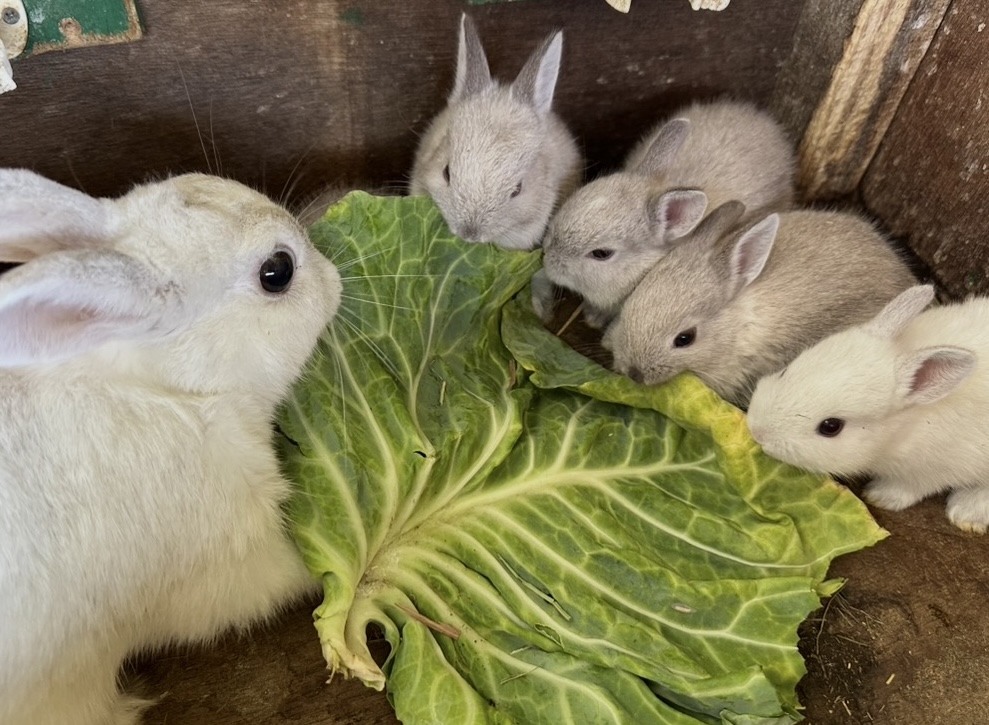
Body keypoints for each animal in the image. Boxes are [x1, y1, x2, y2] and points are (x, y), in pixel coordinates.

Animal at [747, 284, 989, 533]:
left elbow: (910, 487)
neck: (902, 429)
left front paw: (878, 496)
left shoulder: (929, 471)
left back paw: (966, 514)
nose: (758, 433)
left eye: (831, 427)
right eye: (786, 371)